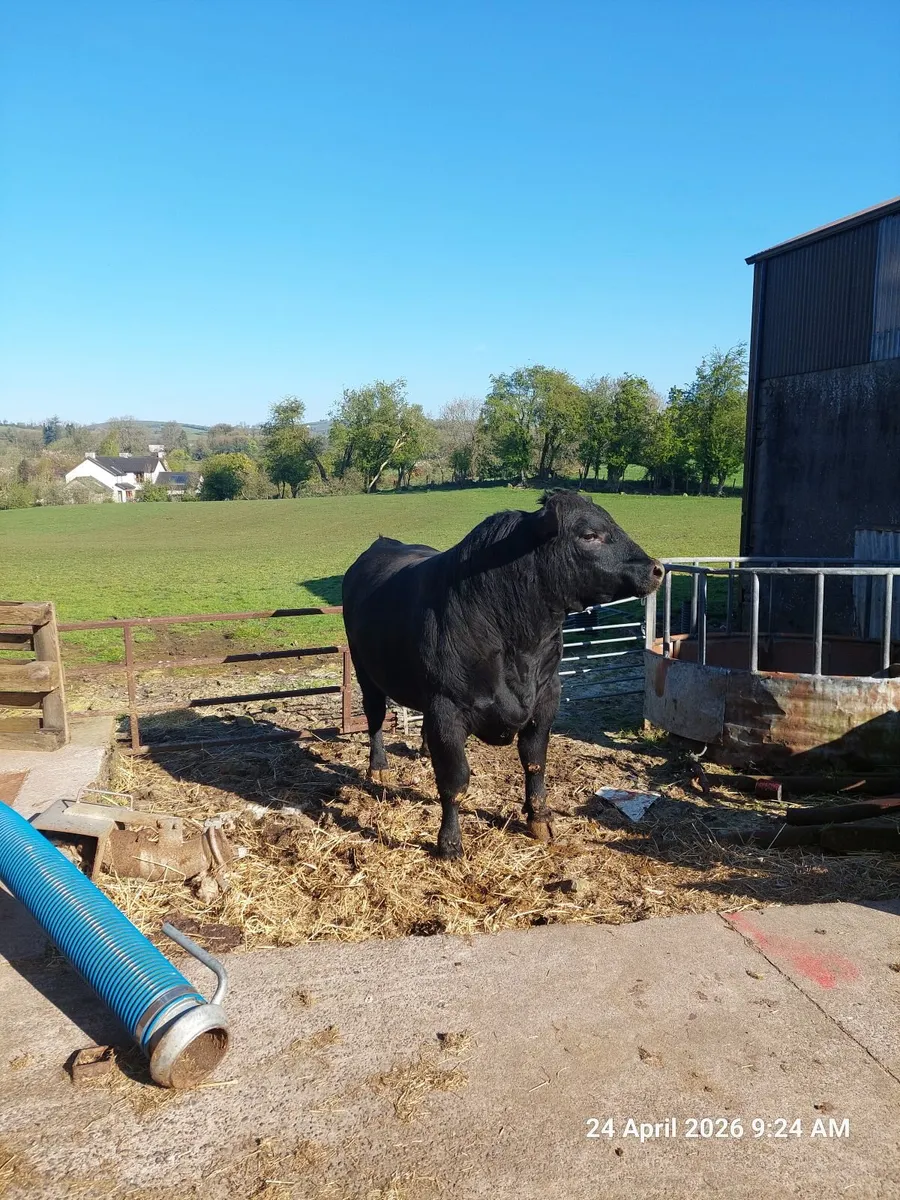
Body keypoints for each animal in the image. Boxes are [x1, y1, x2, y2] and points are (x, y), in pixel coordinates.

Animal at [342, 489, 663, 859]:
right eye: (589, 535)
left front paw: (539, 819)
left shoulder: (546, 697)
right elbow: (454, 780)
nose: (657, 568)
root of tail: (383, 544)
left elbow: (535, 762)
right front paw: (449, 843)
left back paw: (422, 749)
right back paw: (378, 768)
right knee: (375, 716)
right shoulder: (447, 708)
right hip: (366, 671)